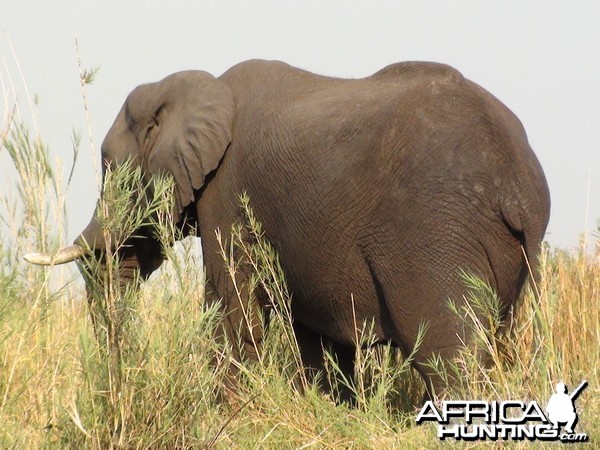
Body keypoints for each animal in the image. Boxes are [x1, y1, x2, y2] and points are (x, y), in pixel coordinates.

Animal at [25, 59, 552, 398]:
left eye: (108, 165)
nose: (121, 386)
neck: (199, 88)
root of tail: (518, 186)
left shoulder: (227, 193)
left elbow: (232, 308)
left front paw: (225, 417)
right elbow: (314, 334)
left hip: (435, 235)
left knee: (449, 357)